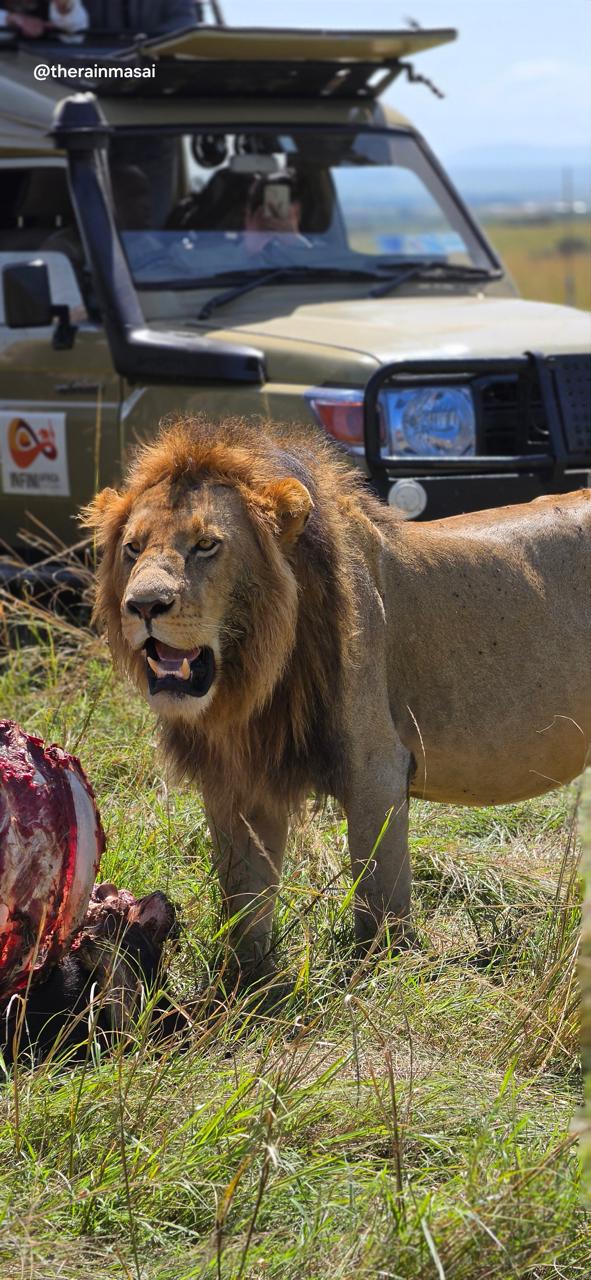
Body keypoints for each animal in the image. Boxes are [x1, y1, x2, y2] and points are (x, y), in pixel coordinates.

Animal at [84, 417, 591, 977]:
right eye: (133, 548)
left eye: (206, 545)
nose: (143, 605)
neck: (252, 682)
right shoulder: (240, 781)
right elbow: (244, 905)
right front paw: (247, 984)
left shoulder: (377, 768)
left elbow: (380, 900)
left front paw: (386, 973)